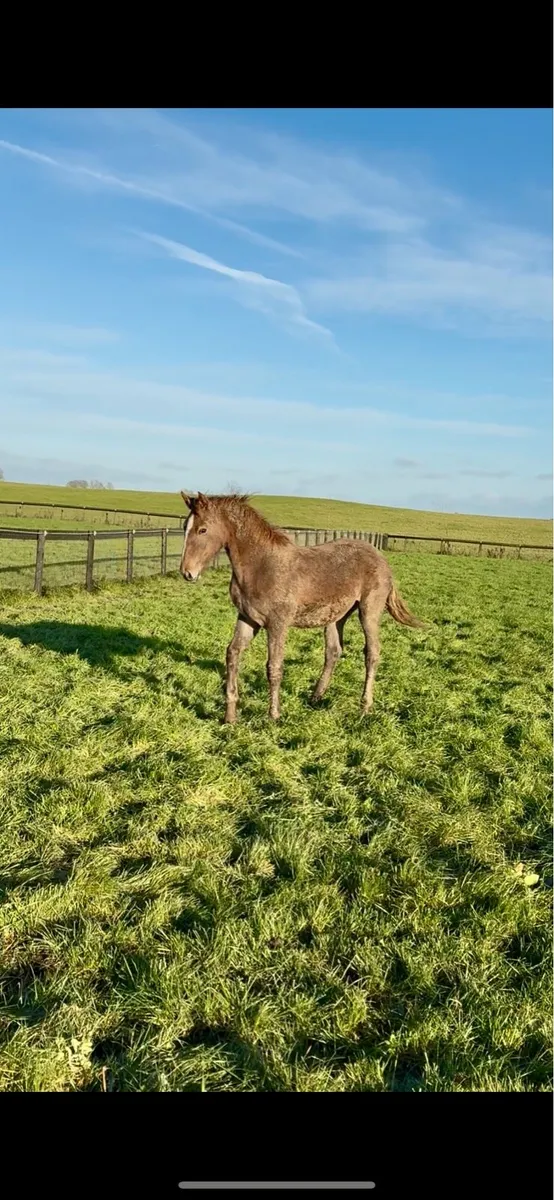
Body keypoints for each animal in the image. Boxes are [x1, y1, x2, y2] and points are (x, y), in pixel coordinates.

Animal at [179, 492, 424, 723]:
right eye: (185, 527)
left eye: (202, 529)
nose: (187, 573)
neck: (260, 566)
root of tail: (381, 558)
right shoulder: (248, 618)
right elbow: (232, 654)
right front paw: (230, 717)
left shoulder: (277, 624)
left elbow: (274, 667)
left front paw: (274, 715)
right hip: (337, 615)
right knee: (333, 651)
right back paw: (316, 697)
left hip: (368, 611)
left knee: (372, 653)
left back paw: (364, 707)